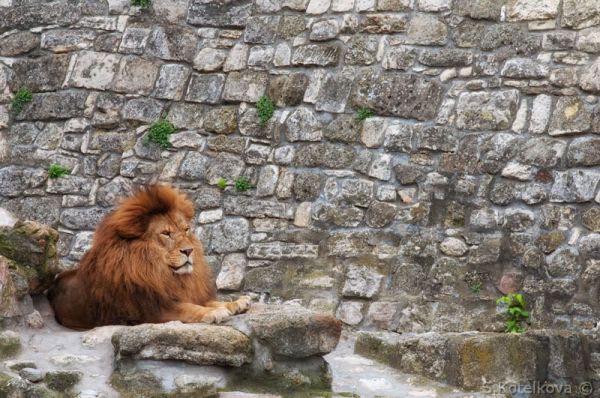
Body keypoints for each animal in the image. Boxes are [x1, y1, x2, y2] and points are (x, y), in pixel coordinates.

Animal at [47, 185, 251, 328]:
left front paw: (236, 303)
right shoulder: (151, 312)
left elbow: (208, 301)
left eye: (186, 229)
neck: (159, 271)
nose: (189, 250)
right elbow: (189, 308)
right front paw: (214, 313)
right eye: (166, 234)